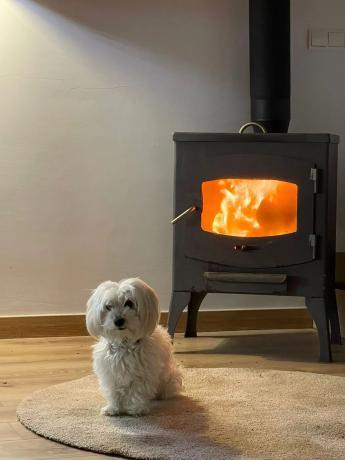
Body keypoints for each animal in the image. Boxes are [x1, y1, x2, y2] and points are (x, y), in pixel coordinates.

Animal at [85, 276, 183, 416]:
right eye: (108, 306)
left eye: (129, 303)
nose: (118, 321)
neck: (124, 343)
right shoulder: (110, 373)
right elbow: (113, 392)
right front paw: (113, 408)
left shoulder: (142, 374)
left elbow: (138, 392)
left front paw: (137, 409)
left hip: (170, 377)